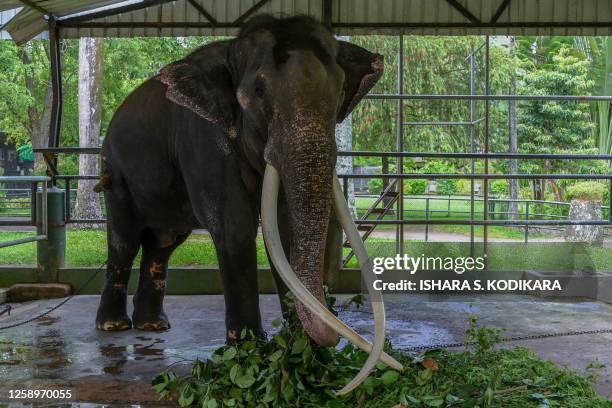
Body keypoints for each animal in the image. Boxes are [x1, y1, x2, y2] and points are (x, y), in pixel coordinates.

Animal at [94, 15, 402, 392]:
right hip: (115, 173)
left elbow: (284, 233)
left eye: (341, 89)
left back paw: (153, 326)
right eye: (258, 92)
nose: (332, 339)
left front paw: (298, 350)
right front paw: (249, 352)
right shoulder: (204, 140)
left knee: (162, 244)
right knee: (124, 240)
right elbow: (234, 226)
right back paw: (114, 327)